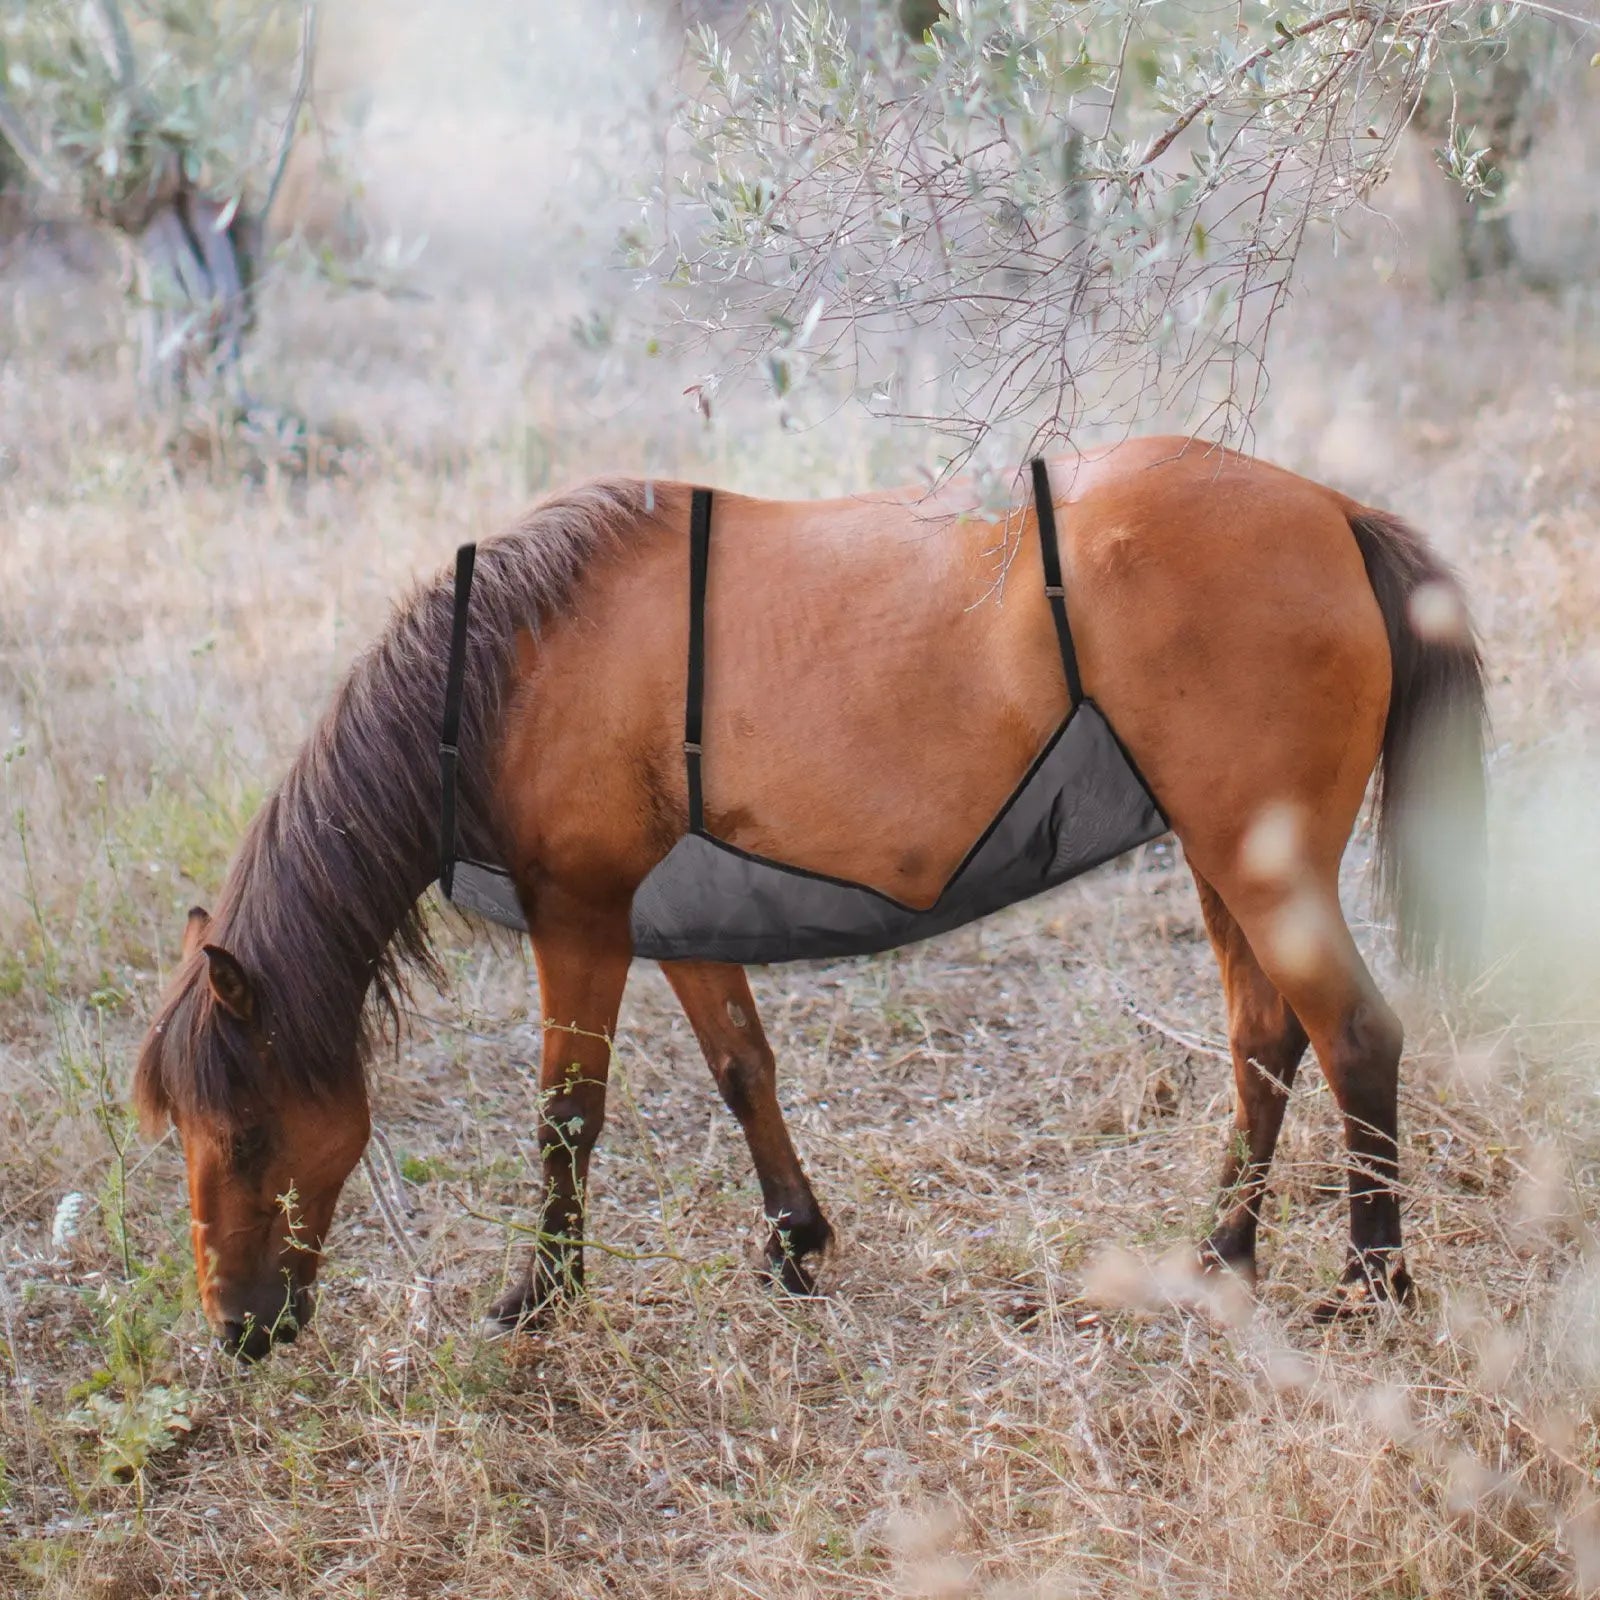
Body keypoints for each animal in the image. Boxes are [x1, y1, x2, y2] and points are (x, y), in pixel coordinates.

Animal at [133, 436, 1487, 1359]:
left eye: (245, 1133)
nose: (237, 1331)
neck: (510, 665)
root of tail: (1335, 510)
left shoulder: (580, 918)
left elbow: (567, 1113)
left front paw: (543, 1292)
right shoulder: (671, 922)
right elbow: (743, 1066)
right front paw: (793, 1238)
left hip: (1261, 868)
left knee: (1353, 1036)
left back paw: (1371, 1281)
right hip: (1221, 864)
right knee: (1265, 1041)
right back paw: (1219, 1257)